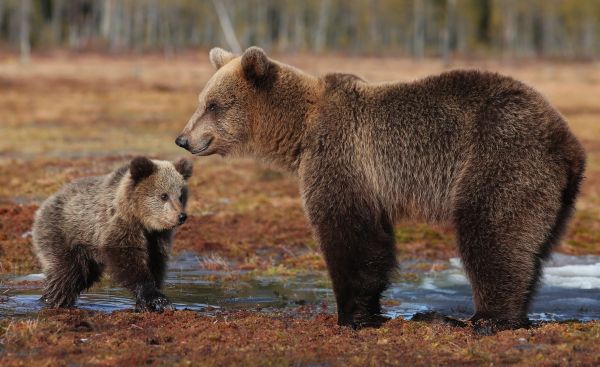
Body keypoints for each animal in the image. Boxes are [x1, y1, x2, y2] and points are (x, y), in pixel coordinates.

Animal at [175, 46, 584, 334]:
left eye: (214, 104)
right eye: (201, 101)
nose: (183, 138)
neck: (298, 132)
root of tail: (568, 143)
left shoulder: (341, 154)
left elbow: (349, 233)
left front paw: (351, 314)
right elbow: (374, 241)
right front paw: (369, 309)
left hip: (502, 157)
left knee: (491, 231)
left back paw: (479, 319)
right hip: (553, 194)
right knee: (528, 246)